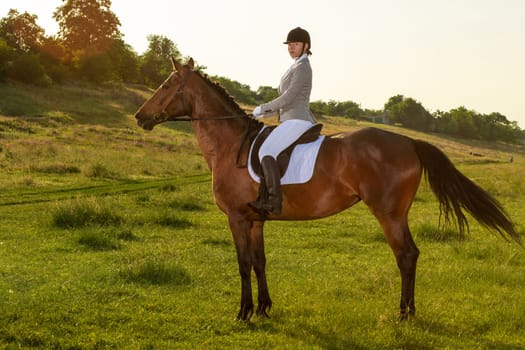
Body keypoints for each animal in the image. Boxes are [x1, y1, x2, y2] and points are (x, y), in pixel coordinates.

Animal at [133, 58, 516, 322]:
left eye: (166, 85)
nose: (139, 117)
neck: (230, 146)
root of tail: (408, 141)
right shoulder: (256, 220)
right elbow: (259, 262)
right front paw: (264, 308)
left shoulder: (237, 218)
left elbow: (242, 264)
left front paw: (243, 313)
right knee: (410, 255)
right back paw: (407, 311)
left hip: (388, 213)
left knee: (406, 255)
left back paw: (403, 314)